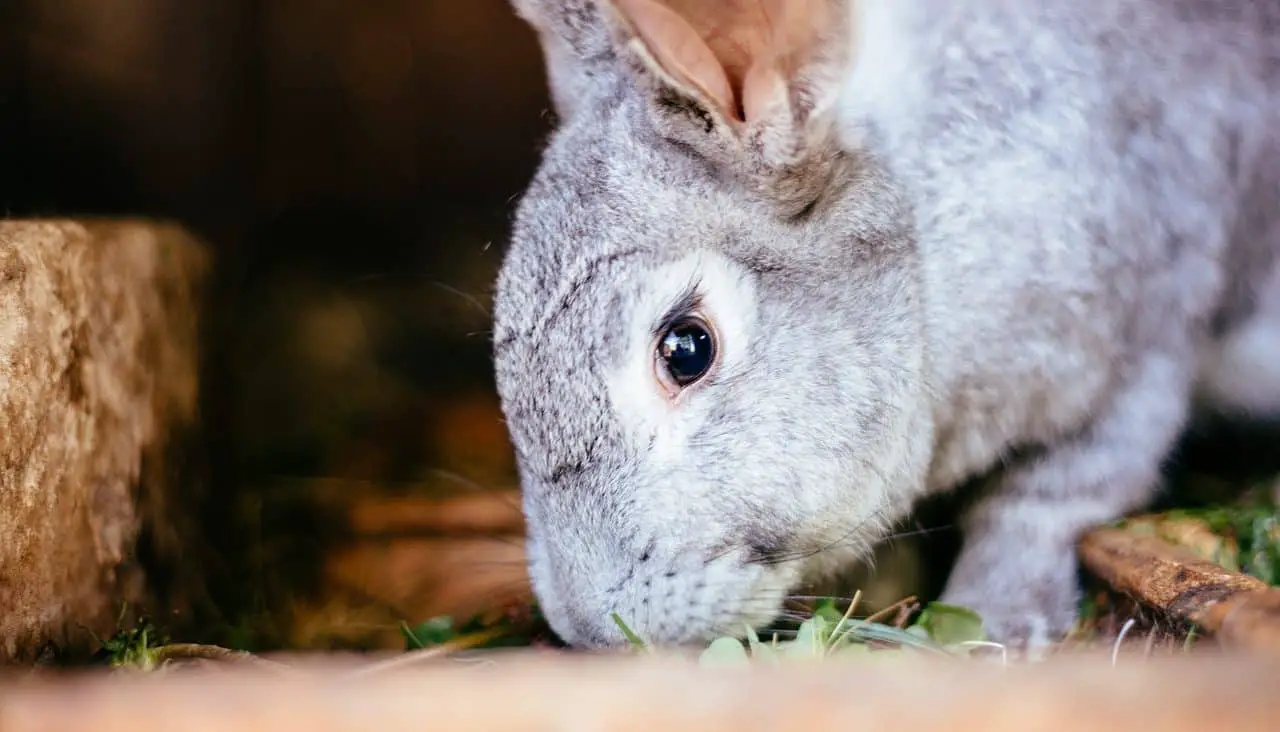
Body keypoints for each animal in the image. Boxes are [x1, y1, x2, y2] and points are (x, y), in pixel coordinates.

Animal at [486, 0, 1280, 652]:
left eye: (687, 349)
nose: (590, 628)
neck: (924, 256)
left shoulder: (1141, 347)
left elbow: (1043, 497)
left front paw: (994, 622)